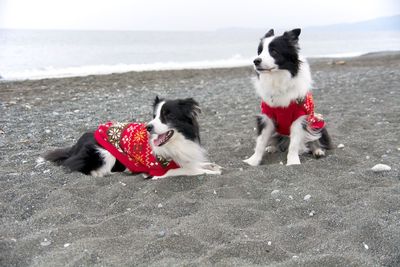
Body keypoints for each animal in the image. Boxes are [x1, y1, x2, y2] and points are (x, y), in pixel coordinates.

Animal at [41, 96, 222, 180]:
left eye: (168, 116)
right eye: (154, 116)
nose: (148, 127)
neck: (175, 143)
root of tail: (75, 146)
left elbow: (195, 164)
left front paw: (212, 165)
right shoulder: (157, 171)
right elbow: (191, 170)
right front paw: (209, 171)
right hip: (104, 154)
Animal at [242, 29, 332, 168]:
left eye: (274, 51)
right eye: (259, 52)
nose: (255, 61)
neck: (277, 79)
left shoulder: (299, 117)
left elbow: (294, 144)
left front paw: (293, 162)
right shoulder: (267, 116)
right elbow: (261, 141)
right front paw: (253, 160)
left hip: (317, 122)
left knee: (315, 139)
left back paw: (317, 150)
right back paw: (272, 147)